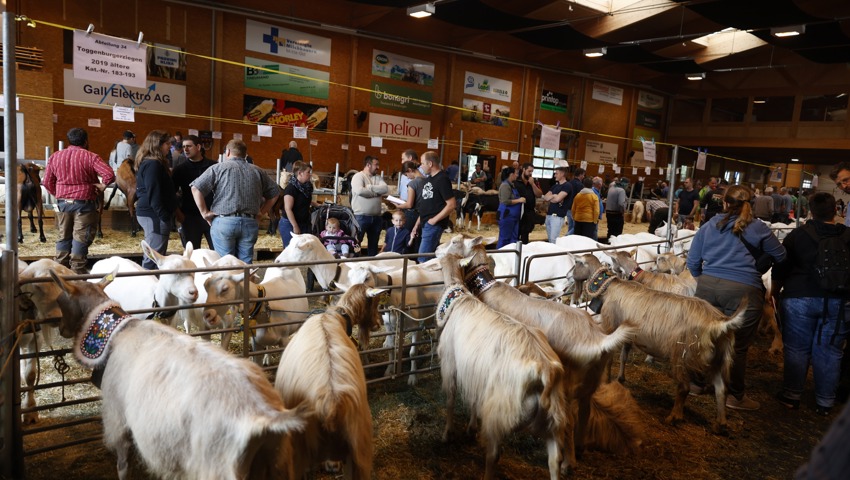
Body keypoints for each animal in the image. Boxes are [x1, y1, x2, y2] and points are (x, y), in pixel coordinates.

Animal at [45, 270, 304, 480]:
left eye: (60, 299)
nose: (60, 328)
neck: (115, 331)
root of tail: (265, 417)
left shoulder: (116, 418)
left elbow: (123, 465)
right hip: (279, 463)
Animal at [434, 253, 568, 478]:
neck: (460, 300)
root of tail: (546, 372)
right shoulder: (477, 374)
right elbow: (473, 401)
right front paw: (471, 428)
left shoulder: (450, 363)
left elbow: (451, 400)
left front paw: (447, 434)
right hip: (553, 422)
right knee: (554, 460)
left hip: (499, 412)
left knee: (495, 454)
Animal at [438, 236, 636, 458]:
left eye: (455, 242)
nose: (437, 250)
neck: (489, 288)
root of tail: (598, 339)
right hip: (589, 384)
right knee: (584, 413)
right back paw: (579, 448)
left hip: (568, 381)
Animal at [568, 255, 744, 436]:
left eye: (577, 263)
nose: (569, 277)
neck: (609, 287)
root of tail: (720, 323)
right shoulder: (627, 333)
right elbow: (623, 356)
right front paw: (620, 379)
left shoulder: (611, 325)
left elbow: (609, 358)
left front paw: (605, 381)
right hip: (718, 358)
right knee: (721, 389)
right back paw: (720, 424)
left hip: (682, 354)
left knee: (684, 387)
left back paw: (674, 417)